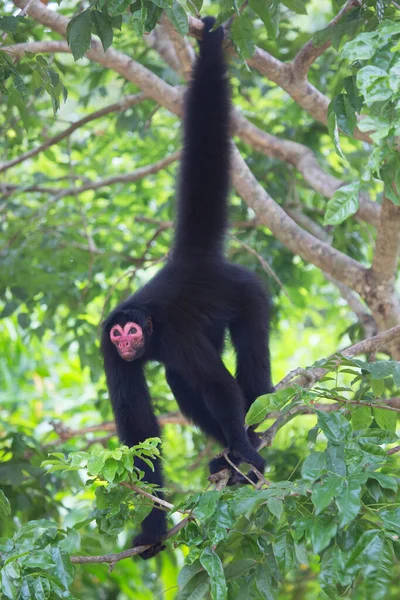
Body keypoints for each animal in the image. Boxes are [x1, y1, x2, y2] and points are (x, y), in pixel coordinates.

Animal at [101, 19, 274, 564]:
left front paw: (245, 451)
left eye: (134, 331)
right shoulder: (105, 350)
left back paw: (249, 438)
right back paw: (224, 457)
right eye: (118, 336)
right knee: (180, 381)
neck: (151, 332)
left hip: (249, 294)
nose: (128, 342)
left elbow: (219, 386)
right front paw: (153, 522)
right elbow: (139, 430)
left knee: (246, 367)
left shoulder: (173, 332)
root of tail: (193, 261)